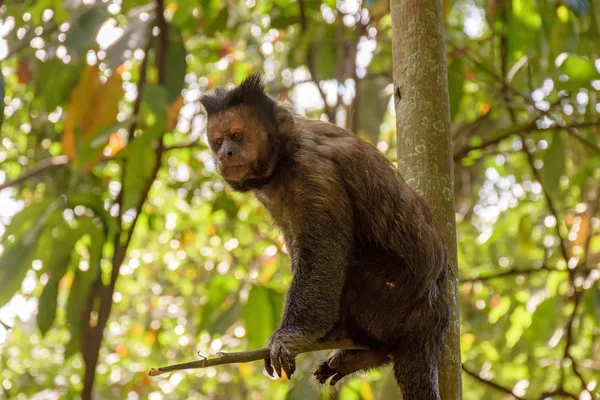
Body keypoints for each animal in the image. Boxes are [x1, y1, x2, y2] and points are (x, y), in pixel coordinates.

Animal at [199, 73, 448, 398]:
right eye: (218, 141)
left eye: (237, 135)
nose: (224, 153)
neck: (285, 158)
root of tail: (434, 314)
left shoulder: (314, 171)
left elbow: (323, 254)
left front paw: (290, 336)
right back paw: (366, 354)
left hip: (396, 295)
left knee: (351, 267)